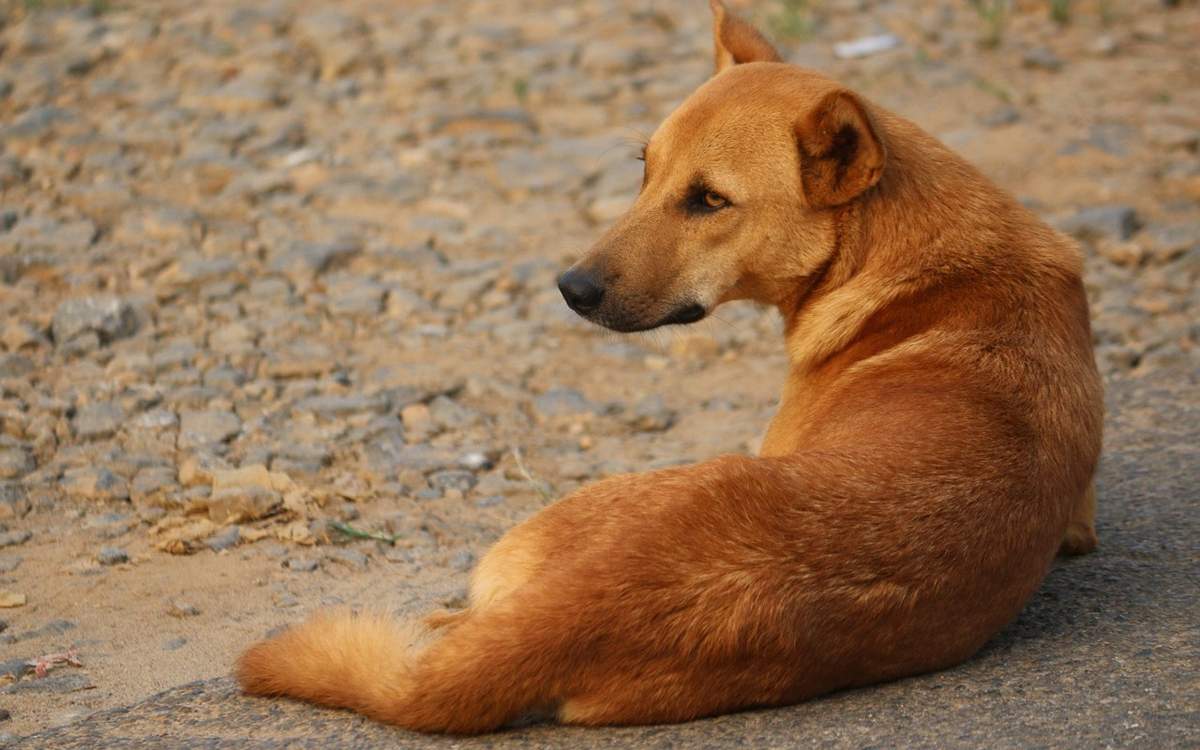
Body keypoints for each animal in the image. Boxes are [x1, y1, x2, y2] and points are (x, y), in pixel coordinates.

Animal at [236, 1, 1104, 729]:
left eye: (710, 200)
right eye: (643, 169)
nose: (572, 288)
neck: (920, 267)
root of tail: (580, 611)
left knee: (450, 622)